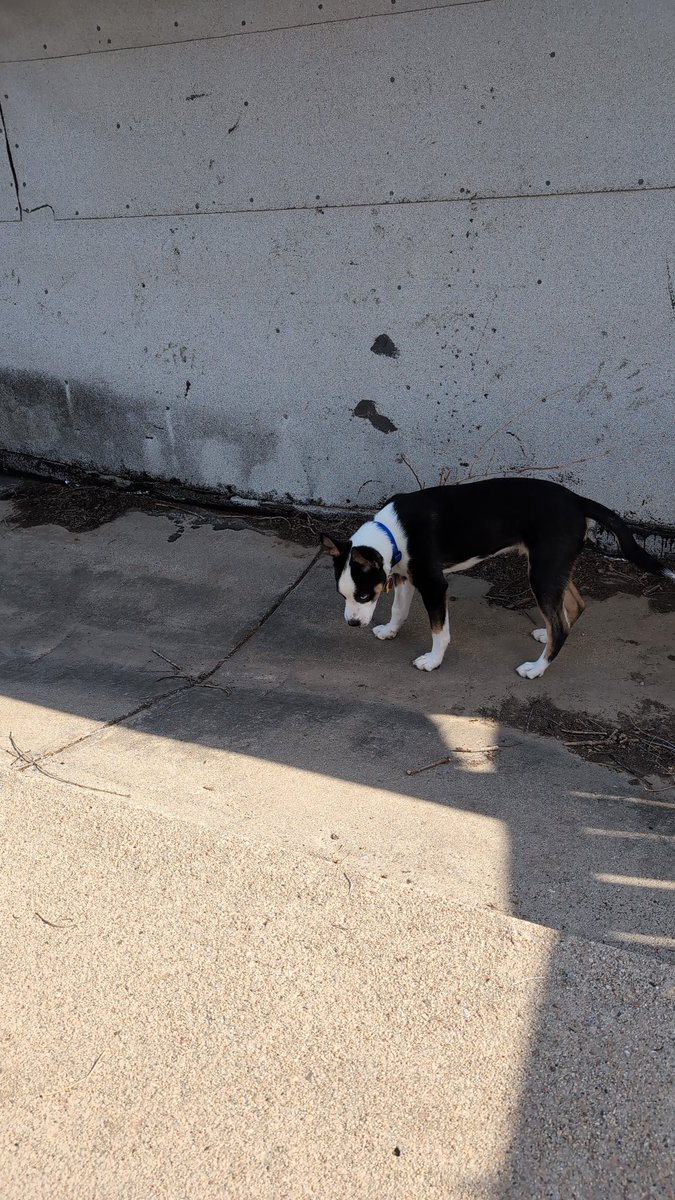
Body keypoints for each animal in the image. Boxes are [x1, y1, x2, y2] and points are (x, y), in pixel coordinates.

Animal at [319, 480, 672, 686]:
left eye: (364, 595)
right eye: (342, 595)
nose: (352, 624)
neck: (393, 532)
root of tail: (576, 499)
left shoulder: (434, 584)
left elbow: (439, 630)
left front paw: (433, 661)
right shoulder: (406, 574)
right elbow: (398, 609)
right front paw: (391, 631)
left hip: (542, 570)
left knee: (561, 624)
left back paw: (537, 667)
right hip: (551, 566)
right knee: (572, 605)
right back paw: (545, 634)